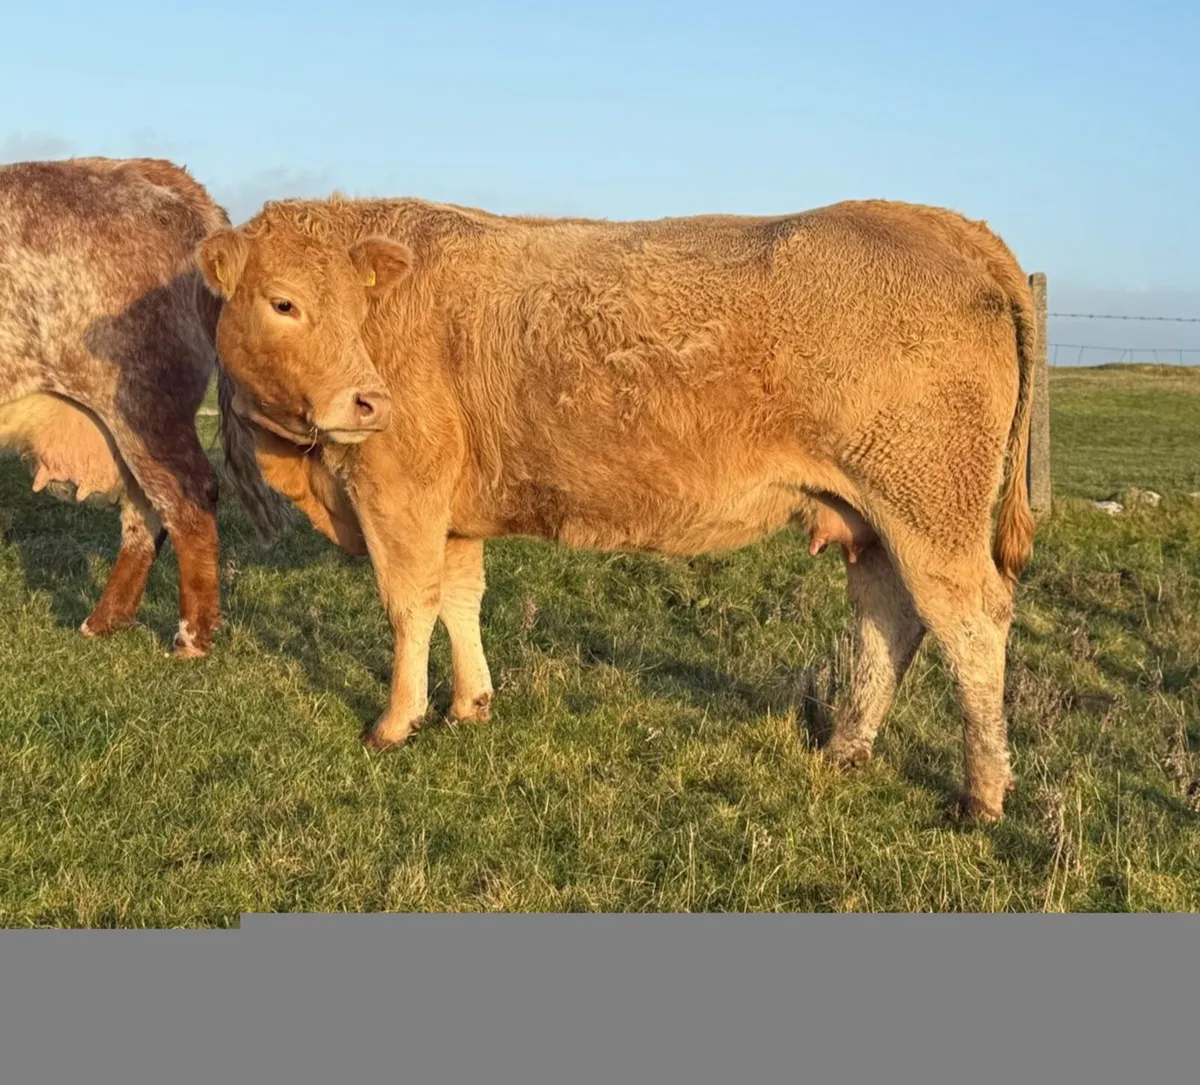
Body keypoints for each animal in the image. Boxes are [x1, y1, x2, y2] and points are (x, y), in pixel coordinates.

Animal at [198, 194, 1036, 822]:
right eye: (284, 302)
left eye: (350, 304)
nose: (367, 400)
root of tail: (933, 220)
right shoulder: (455, 509)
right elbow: (460, 599)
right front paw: (471, 703)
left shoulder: (398, 489)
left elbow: (409, 604)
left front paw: (394, 721)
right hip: (875, 518)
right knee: (887, 620)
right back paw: (846, 748)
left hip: (929, 506)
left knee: (971, 622)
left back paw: (982, 794)